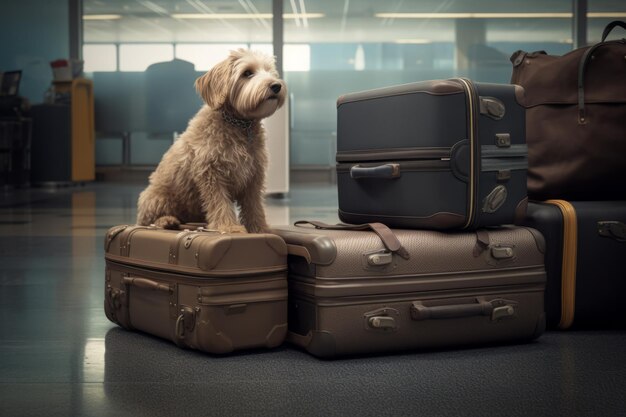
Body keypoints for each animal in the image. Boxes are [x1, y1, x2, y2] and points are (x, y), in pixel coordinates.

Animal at [136, 50, 286, 232]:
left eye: (269, 71)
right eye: (247, 73)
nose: (276, 86)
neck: (238, 124)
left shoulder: (253, 176)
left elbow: (254, 206)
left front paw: (259, 228)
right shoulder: (211, 173)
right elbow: (219, 203)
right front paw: (229, 227)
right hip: (156, 197)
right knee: (148, 220)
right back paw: (166, 220)